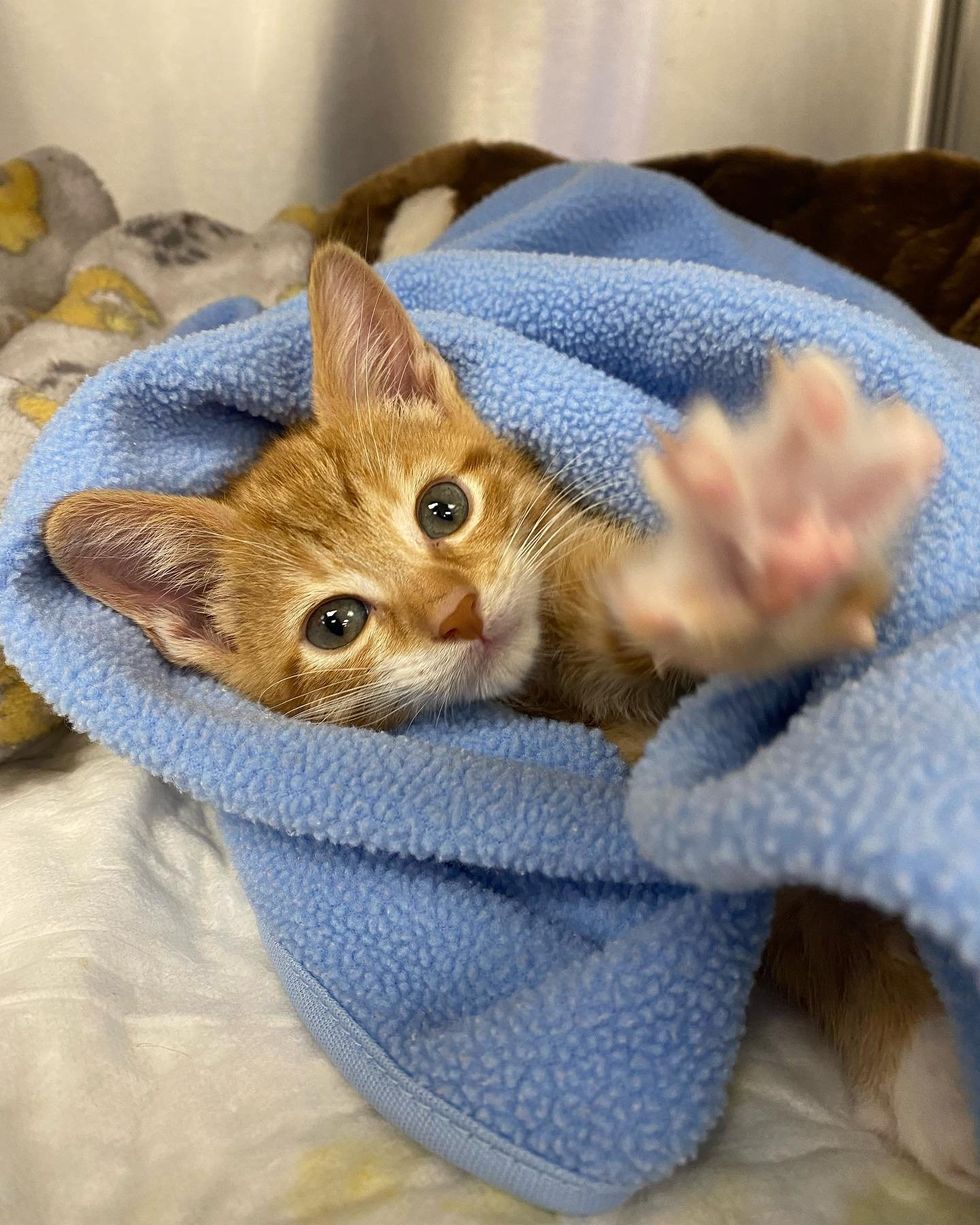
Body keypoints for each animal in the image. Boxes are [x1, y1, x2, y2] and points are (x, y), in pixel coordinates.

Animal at [45, 241, 980, 1195]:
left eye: (443, 507)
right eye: (335, 623)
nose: (457, 610)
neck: (552, 680)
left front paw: (763, 530)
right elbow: (798, 896)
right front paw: (933, 1074)